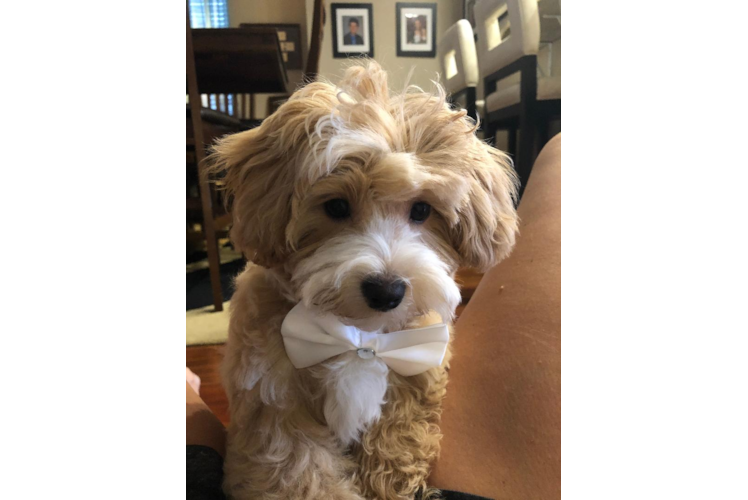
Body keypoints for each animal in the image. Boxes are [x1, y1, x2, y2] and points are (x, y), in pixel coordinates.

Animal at [207, 62, 516, 500]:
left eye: (422, 210)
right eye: (336, 206)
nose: (387, 291)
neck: (361, 339)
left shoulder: (416, 371)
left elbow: (397, 437)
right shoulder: (273, 403)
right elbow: (301, 472)